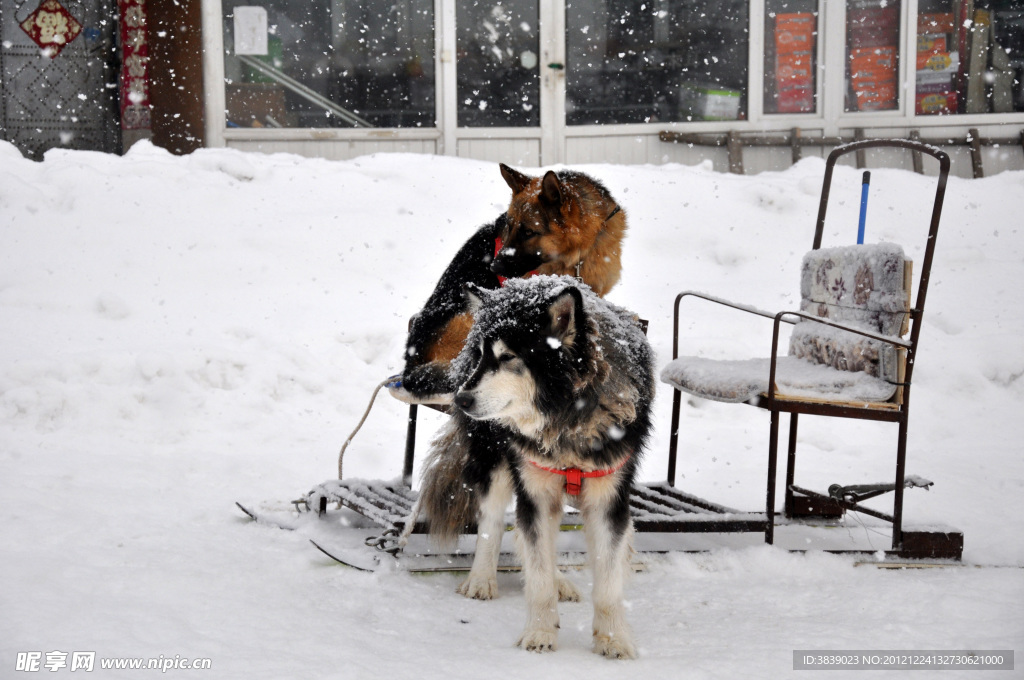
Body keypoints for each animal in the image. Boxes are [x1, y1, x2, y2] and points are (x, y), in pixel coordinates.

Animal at [415, 272, 655, 659]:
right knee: (494, 521)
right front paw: (540, 632)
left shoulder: (608, 497)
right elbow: (537, 572)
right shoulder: (535, 490)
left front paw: (612, 638)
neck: (566, 419)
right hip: (496, 460)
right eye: (482, 356)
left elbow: (607, 581)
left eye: (508, 357)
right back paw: (481, 578)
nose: (461, 399)